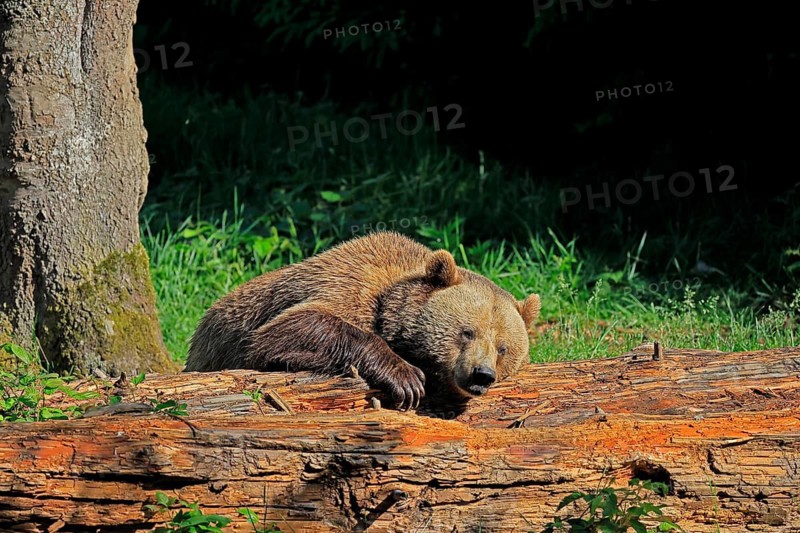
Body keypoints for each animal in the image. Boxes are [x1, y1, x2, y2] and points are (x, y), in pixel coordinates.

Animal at [184, 231, 541, 410]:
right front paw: (406, 378)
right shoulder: (349, 285)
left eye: (503, 348)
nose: (482, 375)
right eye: (467, 332)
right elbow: (287, 329)